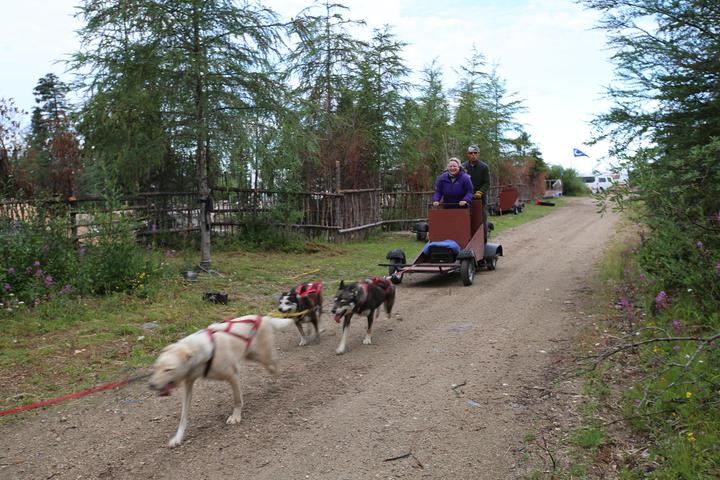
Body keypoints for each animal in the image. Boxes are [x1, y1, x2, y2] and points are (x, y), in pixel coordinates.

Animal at [148, 316, 294, 446]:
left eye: (168, 370)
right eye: (155, 368)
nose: (151, 385)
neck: (201, 351)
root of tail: (264, 318)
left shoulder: (233, 375)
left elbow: (237, 400)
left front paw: (235, 417)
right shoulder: (188, 384)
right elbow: (183, 416)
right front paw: (178, 438)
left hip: (264, 357)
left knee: (276, 365)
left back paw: (276, 380)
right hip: (253, 356)